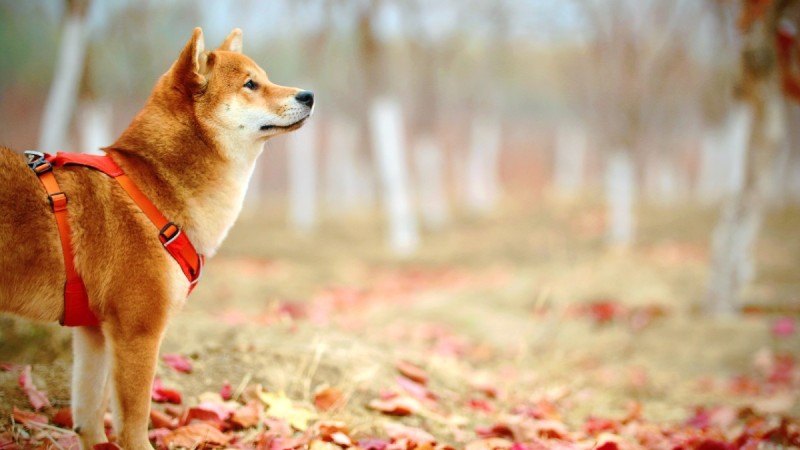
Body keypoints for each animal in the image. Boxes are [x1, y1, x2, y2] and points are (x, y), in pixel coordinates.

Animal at [0, 29, 312, 450]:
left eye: (264, 78)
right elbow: (133, 425)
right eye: (250, 84)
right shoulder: (138, 332)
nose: (309, 95)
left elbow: (89, 419)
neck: (153, 186)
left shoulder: (94, 333)